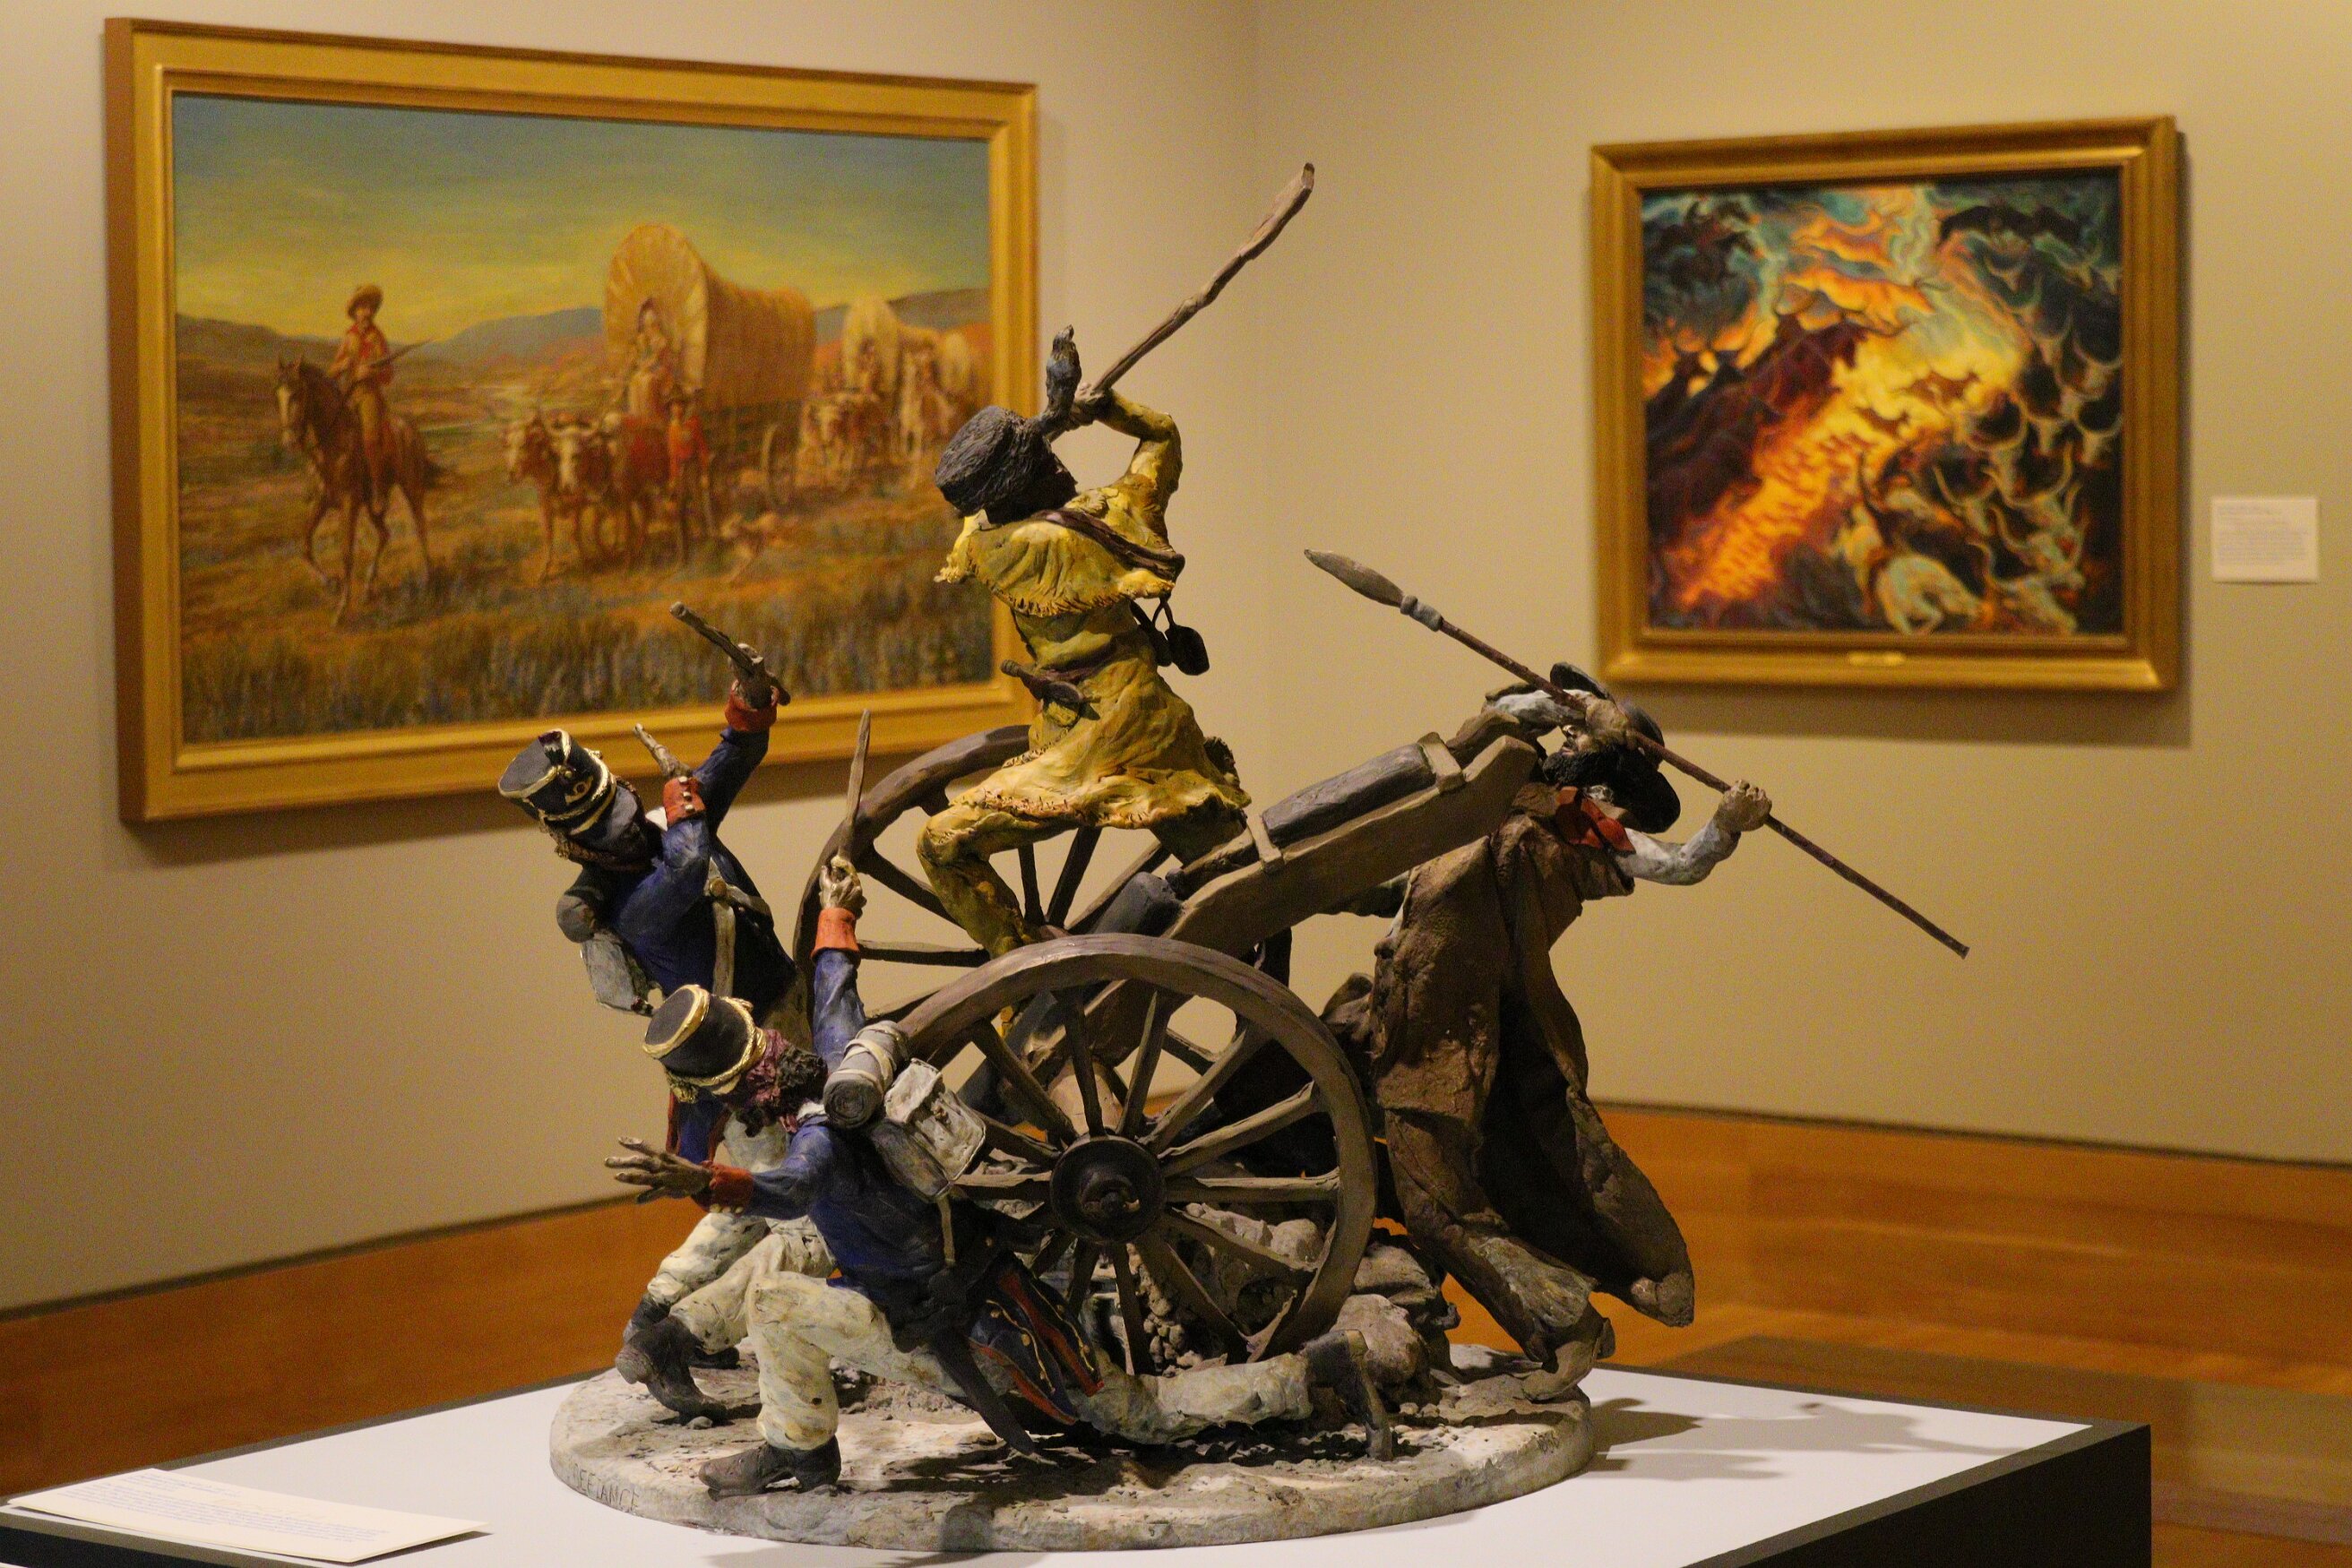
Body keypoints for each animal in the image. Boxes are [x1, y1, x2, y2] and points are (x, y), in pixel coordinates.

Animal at [274, 357, 436, 624]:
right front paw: (330, 584)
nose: (290, 442)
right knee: (385, 534)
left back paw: (429, 582)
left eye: (297, 393)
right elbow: (305, 546)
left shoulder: (349, 504)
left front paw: (341, 609)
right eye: (277, 395)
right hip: (374, 505)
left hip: (412, 488)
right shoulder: (319, 502)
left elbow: (346, 553)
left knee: (421, 528)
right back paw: (369, 588)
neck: (331, 447)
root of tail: (410, 428)